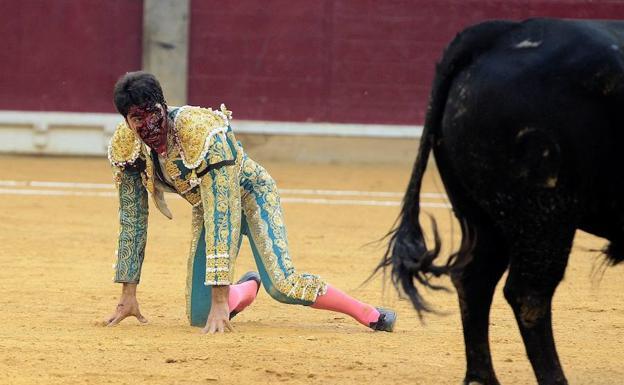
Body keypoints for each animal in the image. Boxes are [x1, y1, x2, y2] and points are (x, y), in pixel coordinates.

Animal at [386, 18, 624, 384]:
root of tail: (503, 32)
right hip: (543, 215)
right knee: (529, 294)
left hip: (481, 218)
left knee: (474, 279)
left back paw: (481, 377)